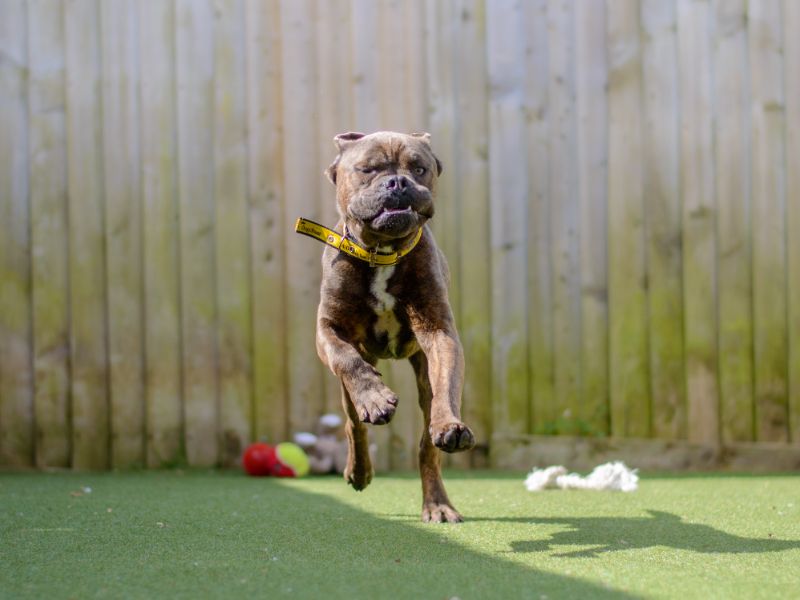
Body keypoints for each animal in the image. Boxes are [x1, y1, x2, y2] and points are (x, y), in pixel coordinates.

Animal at [314, 130, 476, 520]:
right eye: (368, 169)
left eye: (419, 169)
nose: (398, 182)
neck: (381, 252)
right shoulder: (327, 329)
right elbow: (347, 359)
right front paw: (374, 398)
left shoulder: (439, 332)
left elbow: (447, 386)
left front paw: (450, 423)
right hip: (347, 391)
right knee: (353, 424)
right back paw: (359, 470)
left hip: (423, 378)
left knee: (426, 447)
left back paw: (438, 504)